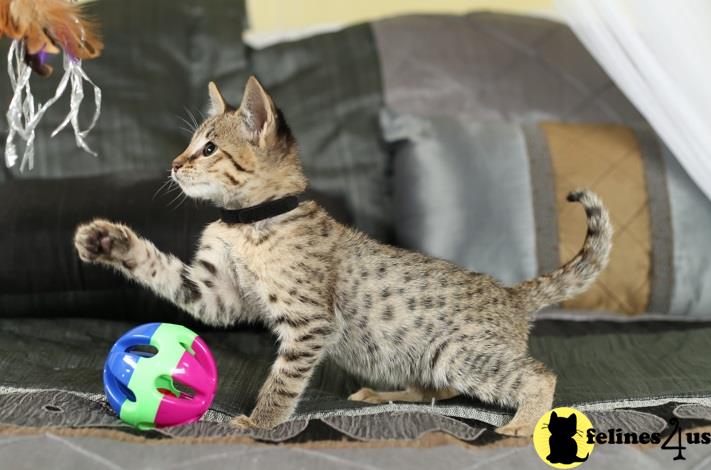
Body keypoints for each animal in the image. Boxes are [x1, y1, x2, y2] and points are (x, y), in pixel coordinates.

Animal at [75, 75, 616, 436]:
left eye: (208, 149)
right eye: (190, 145)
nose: (173, 164)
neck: (245, 223)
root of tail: (511, 293)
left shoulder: (310, 321)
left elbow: (283, 381)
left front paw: (259, 421)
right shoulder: (213, 294)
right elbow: (160, 269)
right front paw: (107, 241)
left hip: (460, 355)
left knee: (538, 374)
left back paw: (524, 422)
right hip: (435, 359)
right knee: (436, 390)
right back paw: (385, 396)